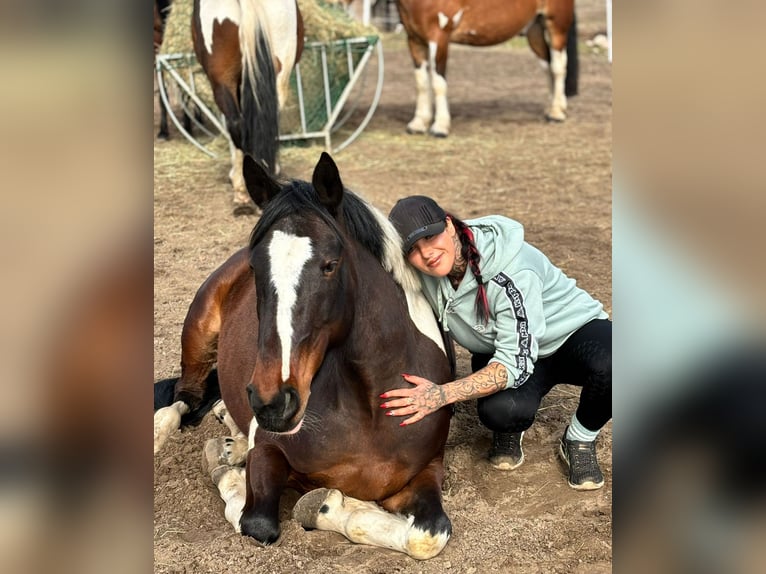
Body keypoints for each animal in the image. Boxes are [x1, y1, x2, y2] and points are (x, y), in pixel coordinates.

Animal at [155, 154, 456, 564]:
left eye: (329, 265)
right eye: (256, 267)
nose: (272, 402)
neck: (369, 407)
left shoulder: (428, 469)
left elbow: (426, 537)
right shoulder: (268, 451)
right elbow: (257, 521)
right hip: (198, 334)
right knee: (183, 397)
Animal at [392, 0, 580, 137]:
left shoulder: (439, 38)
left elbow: (438, 84)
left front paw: (440, 127)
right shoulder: (414, 40)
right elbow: (421, 83)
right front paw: (418, 124)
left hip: (556, 26)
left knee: (558, 67)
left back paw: (556, 113)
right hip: (534, 28)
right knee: (547, 65)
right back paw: (551, 108)